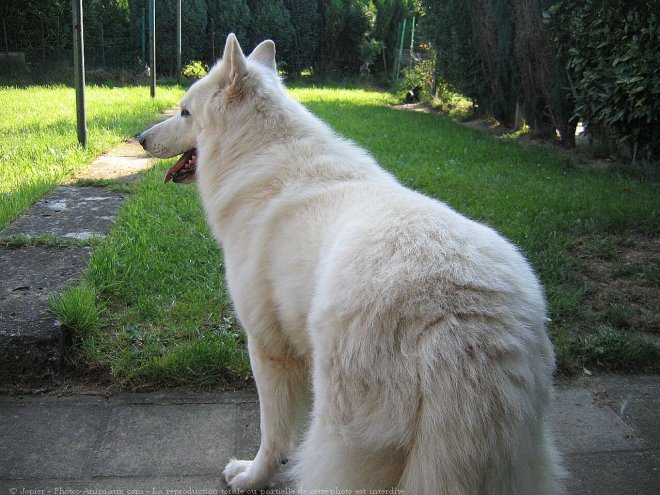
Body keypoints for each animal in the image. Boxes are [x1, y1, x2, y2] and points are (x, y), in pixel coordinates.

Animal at [137, 35, 564, 495]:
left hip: (341, 437)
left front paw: (253, 476)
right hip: (516, 458)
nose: (139, 138)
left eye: (184, 112)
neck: (257, 152)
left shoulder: (267, 348)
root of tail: (461, 323)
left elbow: (273, 434)